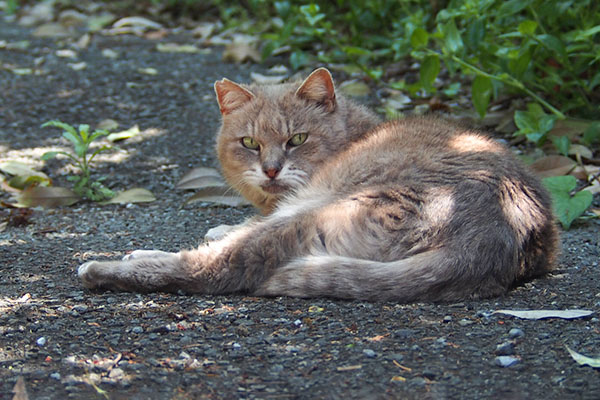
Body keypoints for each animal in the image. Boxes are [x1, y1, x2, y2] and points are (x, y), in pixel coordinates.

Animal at [78, 67, 556, 302]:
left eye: (297, 140)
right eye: (250, 143)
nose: (271, 169)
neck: (359, 132)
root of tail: (495, 238)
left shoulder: (299, 203)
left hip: (323, 211)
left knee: (215, 268)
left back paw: (103, 268)